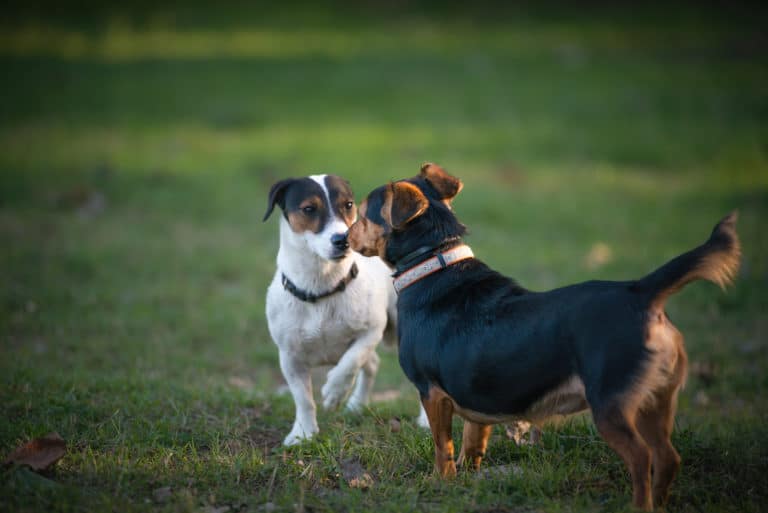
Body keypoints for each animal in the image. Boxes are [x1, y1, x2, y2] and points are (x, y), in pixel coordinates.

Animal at [266, 173, 426, 444]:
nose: (342, 240)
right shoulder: (289, 357)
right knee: (372, 365)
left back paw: (426, 420)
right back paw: (357, 405)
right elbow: (303, 399)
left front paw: (334, 391)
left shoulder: (371, 331)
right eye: (309, 209)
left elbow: (351, 362)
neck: (322, 289)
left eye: (349, 205)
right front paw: (303, 434)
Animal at [346, 163, 736, 508]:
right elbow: (473, 442)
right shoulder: (474, 398)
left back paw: (641, 505)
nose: (343, 237)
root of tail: (640, 291)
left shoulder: (432, 392)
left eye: (362, 214)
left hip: (611, 403)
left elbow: (443, 447)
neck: (433, 261)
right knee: (668, 458)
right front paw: (466, 479)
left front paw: (441, 483)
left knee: (642, 458)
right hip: (655, 401)